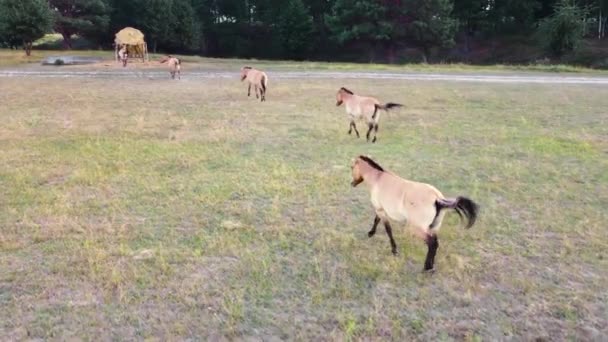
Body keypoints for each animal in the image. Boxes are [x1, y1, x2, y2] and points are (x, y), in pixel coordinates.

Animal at [352, 156, 480, 272]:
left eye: (351, 167)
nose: (352, 183)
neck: (378, 179)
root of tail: (437, 199)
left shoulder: (380, 210)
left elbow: (387, 230)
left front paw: (394, 250)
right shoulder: (380, 210)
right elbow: (377, 220)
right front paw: (371, 233)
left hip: (416, 228)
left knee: (431, 243)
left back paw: (427, 268)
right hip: (434, 227)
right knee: (435, 243)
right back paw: (431, 267)